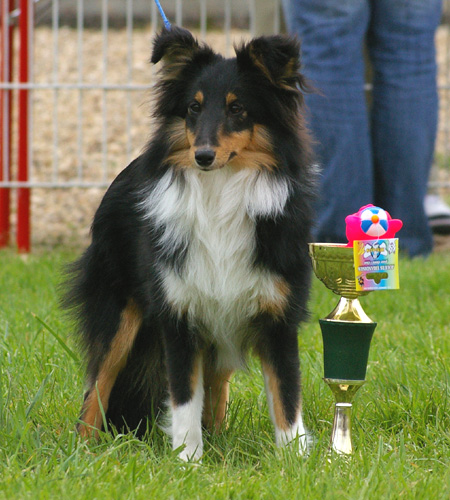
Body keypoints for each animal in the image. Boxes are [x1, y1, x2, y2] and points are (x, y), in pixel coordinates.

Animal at [65, 27, 314, 460]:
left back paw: (218, 438)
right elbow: (183, 399)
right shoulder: (179, 314)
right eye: (193, 108)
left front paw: (296, 462)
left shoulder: (277, 318)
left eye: (238, 108)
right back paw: (83, 451)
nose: (203, 156)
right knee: (97, 384)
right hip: (119, 312)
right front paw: (188, 461)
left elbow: (287, 396)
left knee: (216, 387)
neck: (221, 193)